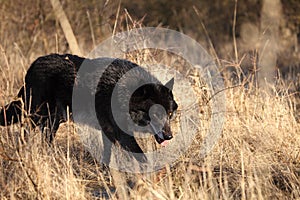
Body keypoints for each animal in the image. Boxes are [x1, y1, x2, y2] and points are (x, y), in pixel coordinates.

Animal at [0, 53, 177, 155]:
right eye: (155, 114)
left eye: (169, 114)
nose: (169, 136)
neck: (124, 93)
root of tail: (32, 66)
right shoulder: (120, 134)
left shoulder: (109, 132)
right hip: (37, 116)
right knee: (24, 133)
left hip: (53, 121)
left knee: (45, 140)